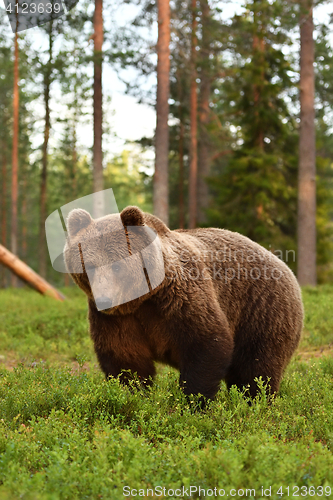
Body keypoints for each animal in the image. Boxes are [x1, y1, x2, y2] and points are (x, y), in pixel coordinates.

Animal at [63, 205, 302, 400]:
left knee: (256, 367)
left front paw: (194, 402)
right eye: (89, 266)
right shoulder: (117, 319)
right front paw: (133, 394)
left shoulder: (179, 300)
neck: (142, 299)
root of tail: (281, 263)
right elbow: (125, 357)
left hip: (261, 309)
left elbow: (206, 343)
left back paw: (256, 401)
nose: (105, 298)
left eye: (116, 265)